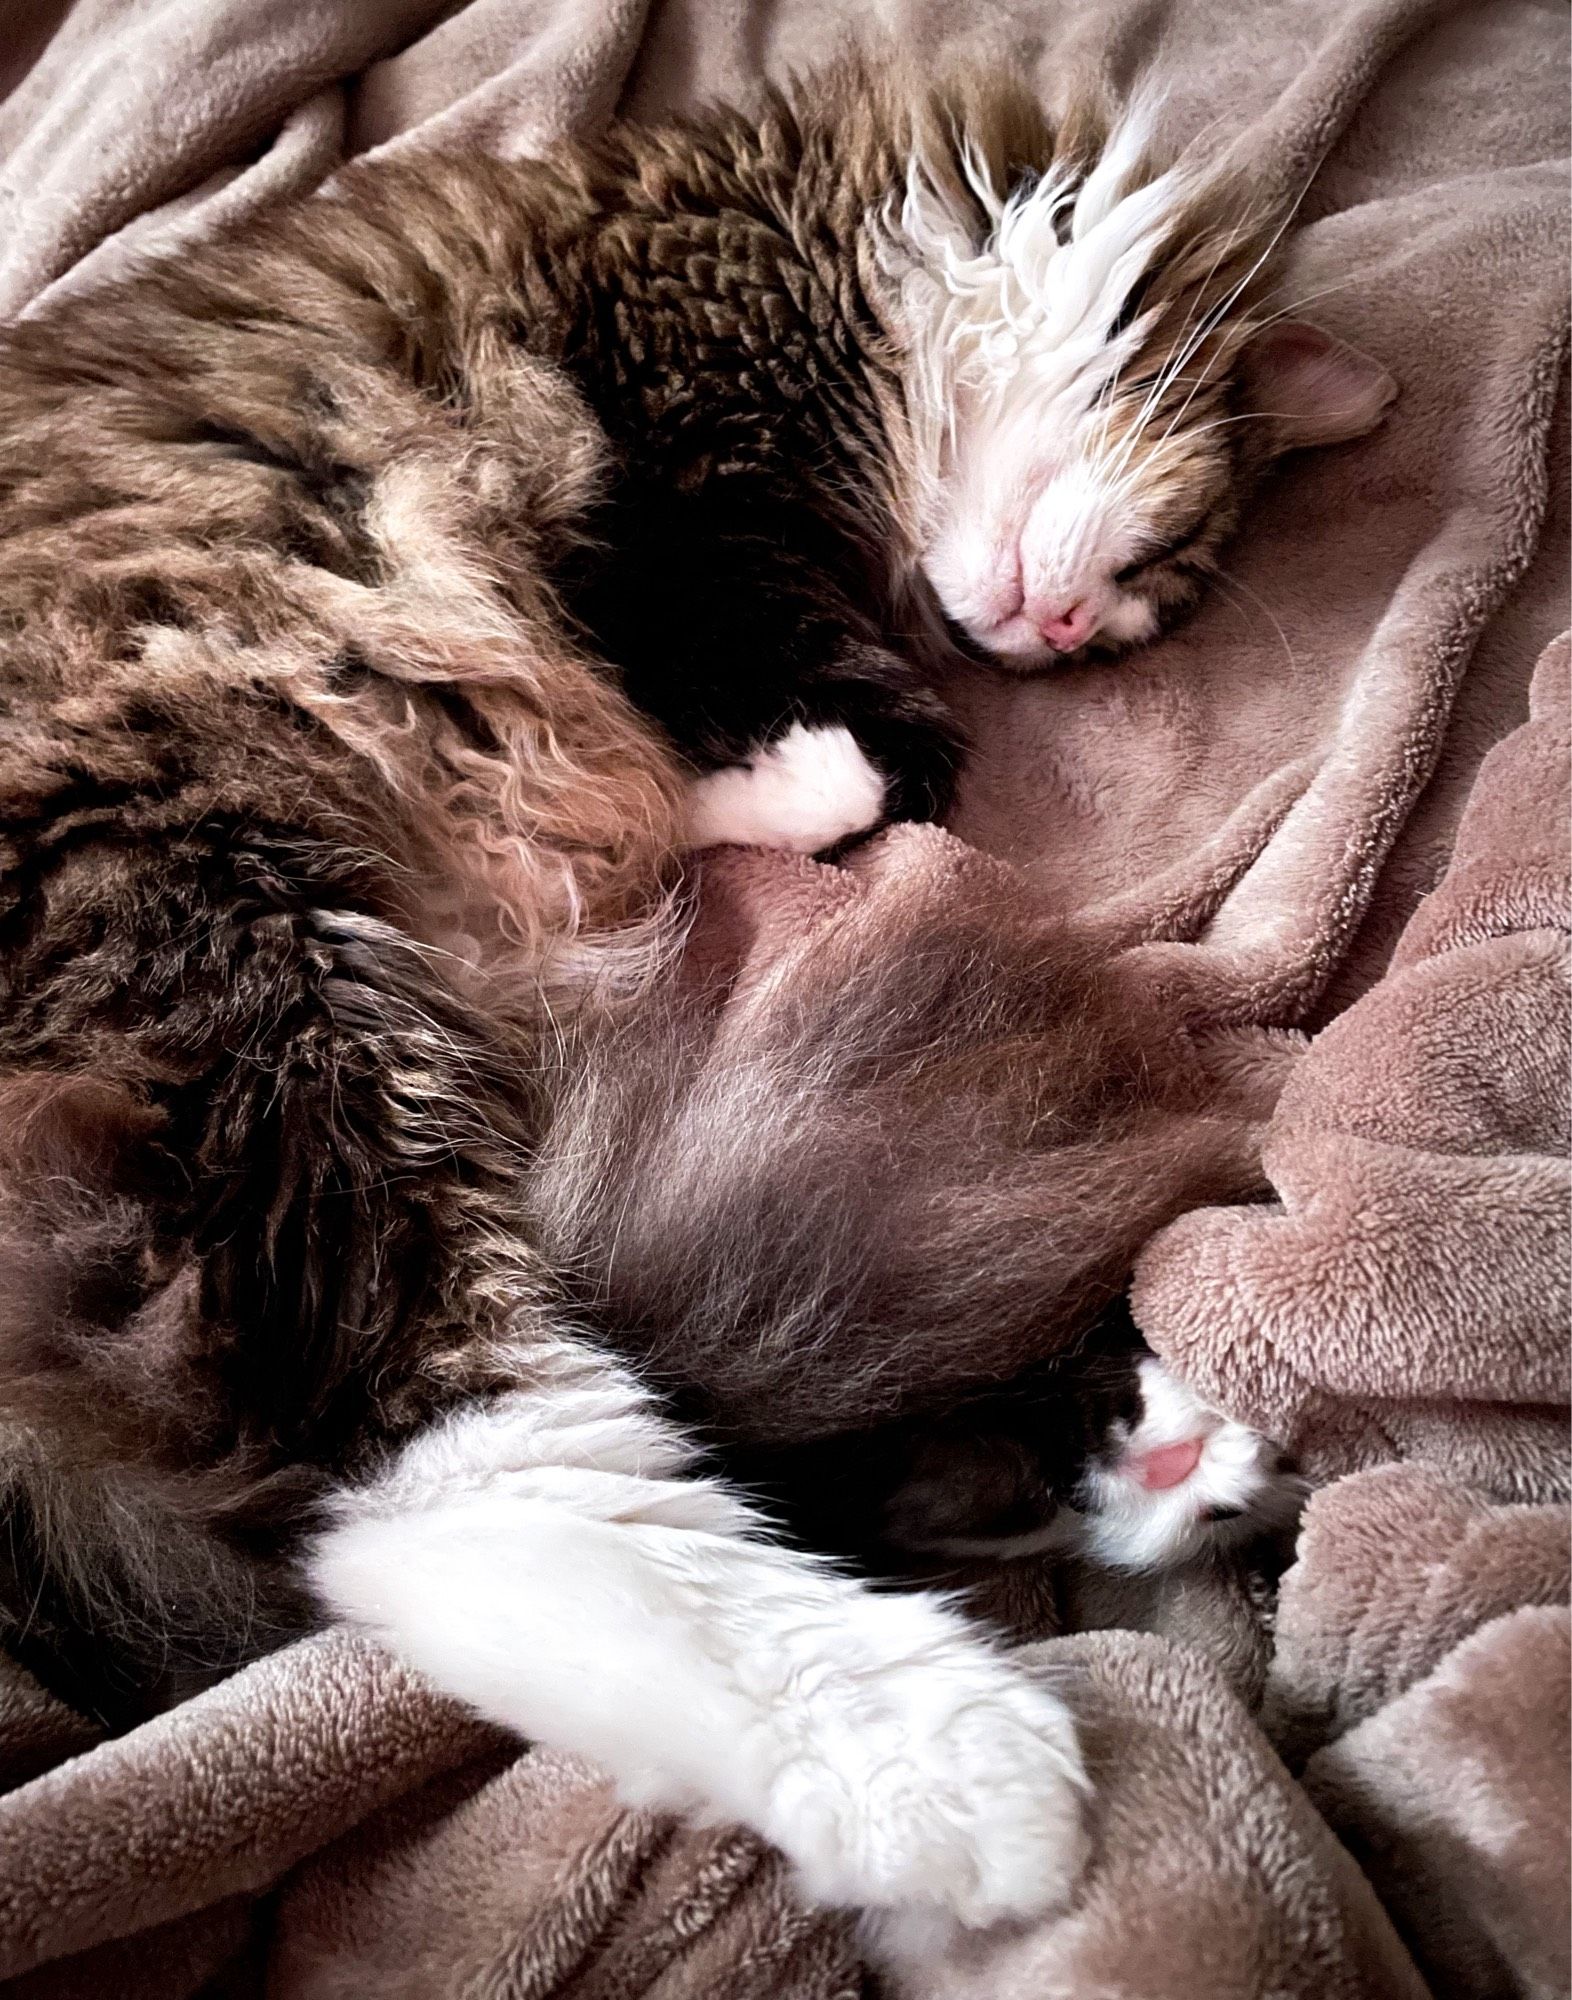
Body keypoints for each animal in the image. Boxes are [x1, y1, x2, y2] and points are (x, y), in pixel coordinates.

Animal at [0, 58, 1384, 1952]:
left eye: (1134, 612)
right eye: (1163, 570)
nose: (1054, 638)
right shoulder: (661, 440)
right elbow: (804, 722)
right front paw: (767, 782)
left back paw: (1154, 1468)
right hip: (226, 957)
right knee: (476, 1490)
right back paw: (958, 1766)